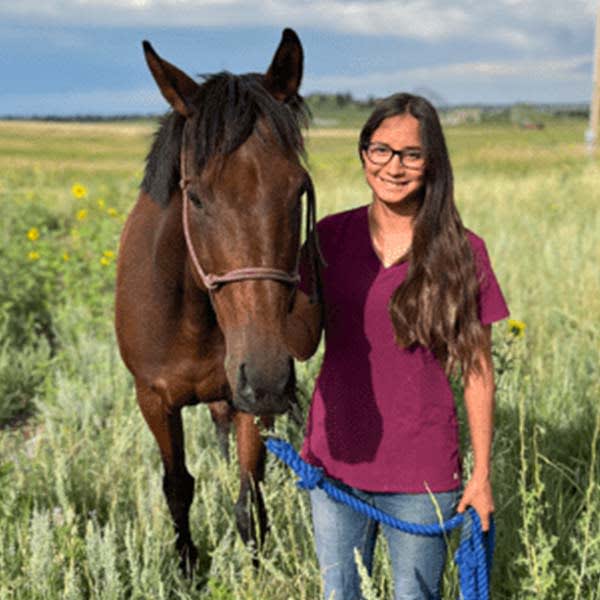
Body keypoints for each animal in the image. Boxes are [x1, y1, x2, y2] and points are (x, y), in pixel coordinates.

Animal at [115, 29, 322, 572]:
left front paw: (255, 570)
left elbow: (251, 497)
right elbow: (177, 486)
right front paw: (187, 566)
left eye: (298, 190)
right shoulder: (153, 399)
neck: (190, 317)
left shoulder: (246, 397)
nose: (268, 377)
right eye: (196, 198)